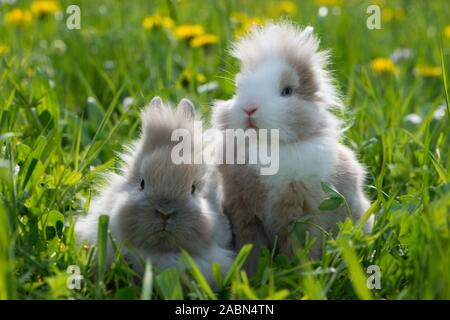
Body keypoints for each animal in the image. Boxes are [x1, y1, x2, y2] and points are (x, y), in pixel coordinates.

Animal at [212, 21, 372, 272]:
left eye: (287, 91)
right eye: (239, 88)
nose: (249, 108)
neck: (269, 145)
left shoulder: (302, 215)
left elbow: (300, 249)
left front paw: (300, 274)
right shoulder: (244, 214)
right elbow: (251, 248)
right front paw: (251, 274)